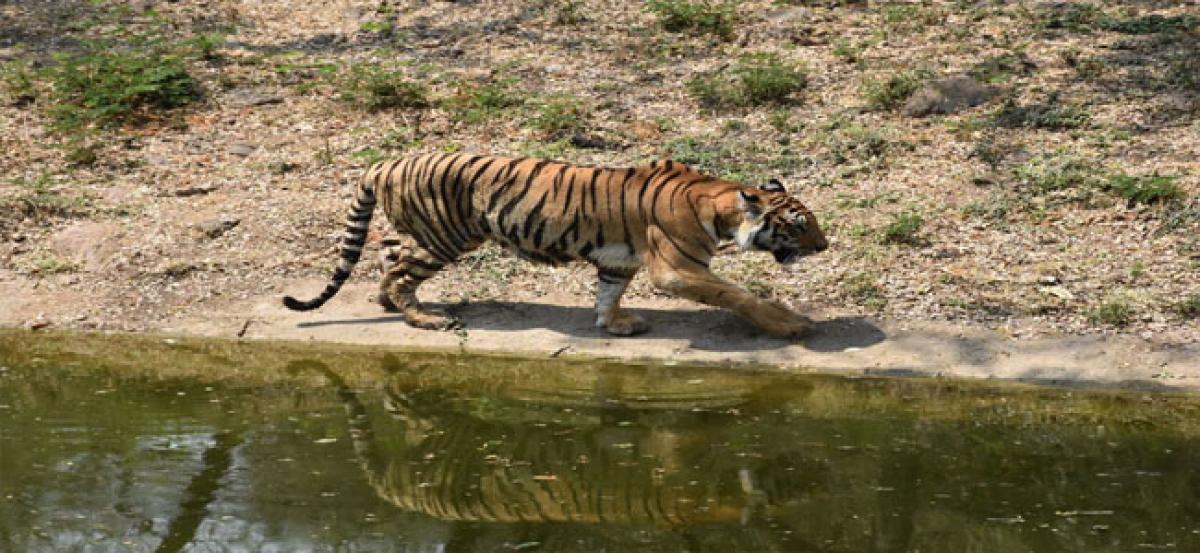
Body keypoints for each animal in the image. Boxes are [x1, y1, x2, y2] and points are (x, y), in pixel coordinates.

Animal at [282, 152, 830, 338]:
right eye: (799, 225)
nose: (825, 246)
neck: (718, 205)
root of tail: (385, 163)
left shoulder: (619, 261)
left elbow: (608, 293)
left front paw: (614, 325)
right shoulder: (676, 269)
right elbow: (739, 294)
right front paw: (790, 325)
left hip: (422, 233)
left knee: (389, 257)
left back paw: (391, 305)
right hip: (443, 237)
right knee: (399, 271)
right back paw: (424, 318)